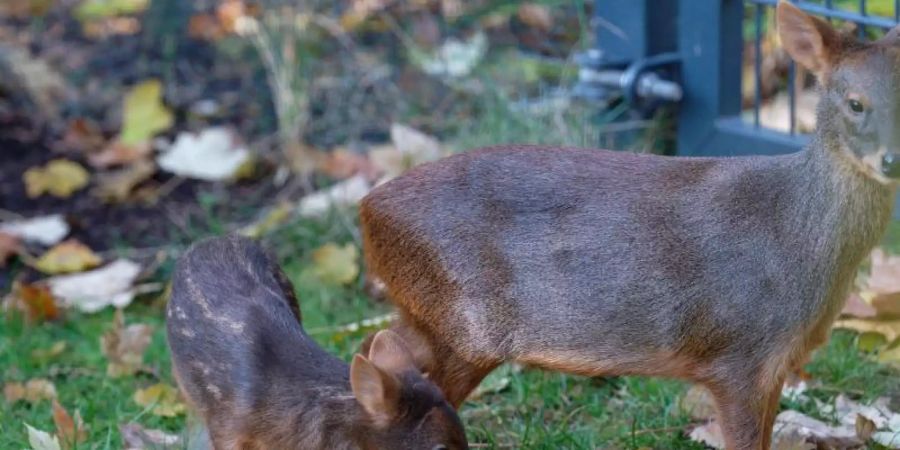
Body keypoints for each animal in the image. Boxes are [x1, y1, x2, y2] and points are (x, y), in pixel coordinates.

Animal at [358, 2, 900, 446]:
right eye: (855, 102)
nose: (891, 158)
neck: (793, 235)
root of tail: (368, 210)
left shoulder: (775, 364)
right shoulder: (738, 354)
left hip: (432, 317)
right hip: (463, 323)